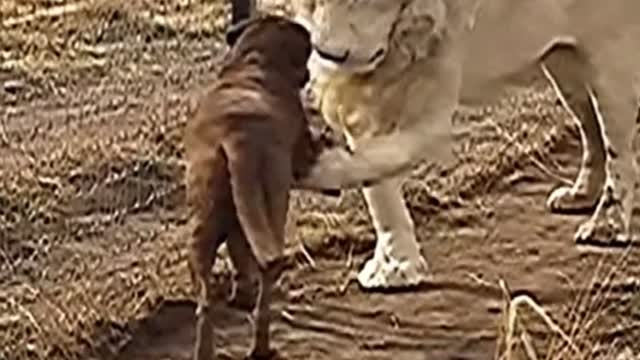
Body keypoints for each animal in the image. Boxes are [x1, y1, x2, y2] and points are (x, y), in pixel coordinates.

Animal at [182, 14, 320, 360]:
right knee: (266, 283)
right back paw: (262, 346)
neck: (254, 61)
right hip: (274, 212)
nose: (308, 74)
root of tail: (238, 138)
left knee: (206, 301)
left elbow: (238, 253)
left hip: (205, 230)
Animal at [290, 0, 640, 290]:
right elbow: (378, 186)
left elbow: (388, 153)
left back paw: (606, 226)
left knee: (616, 145)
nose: (329, 54)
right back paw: (580, 195)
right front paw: (395, 267)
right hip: (563, 61)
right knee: (591, 129)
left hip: (607, 53)